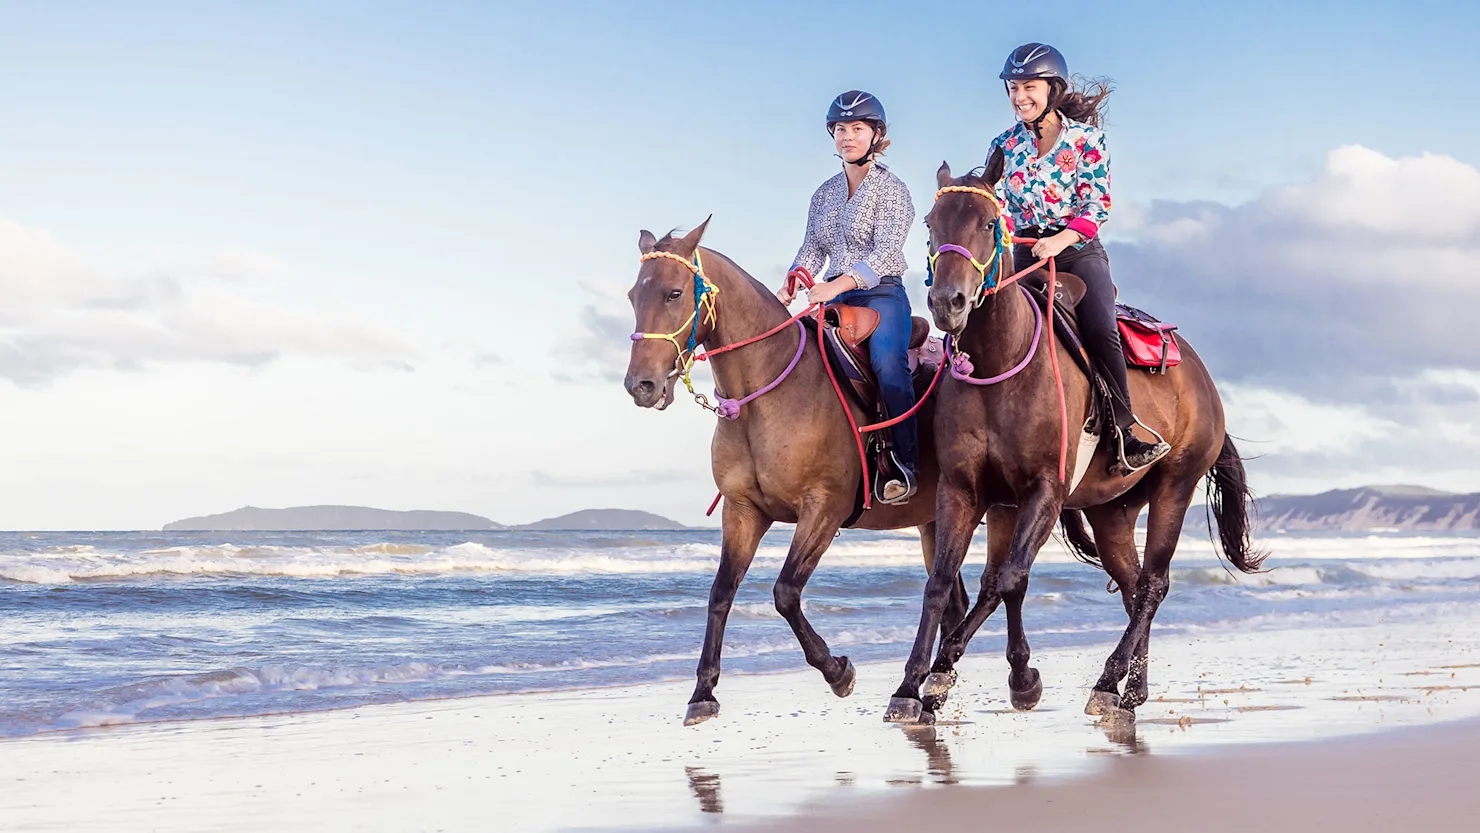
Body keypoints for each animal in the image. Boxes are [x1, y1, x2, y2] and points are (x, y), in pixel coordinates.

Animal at [618, 224, 964, 727]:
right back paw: (931, 693)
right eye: (632, 295)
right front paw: (703, 692)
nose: (641, 386)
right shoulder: (743, 512)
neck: (767, 395)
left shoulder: (824, 509)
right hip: (934, 522)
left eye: (674, 293)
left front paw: (838, 672)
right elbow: (720, 593)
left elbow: (785, 592)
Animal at [882, 158, 1266, 730]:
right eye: (931, 224)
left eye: (988, 224)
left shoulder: (1044, 491)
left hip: (1175, 486)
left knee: (1154, 584)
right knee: (1132, 586)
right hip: (1112, 512)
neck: (1000, 365)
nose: (948, 303)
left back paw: (1109, 683)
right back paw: (1131, 690)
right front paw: (914, 686)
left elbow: (1009, 580)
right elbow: (943, 583)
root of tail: (1200, 374)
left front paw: (996, 678)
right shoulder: (963, 491)